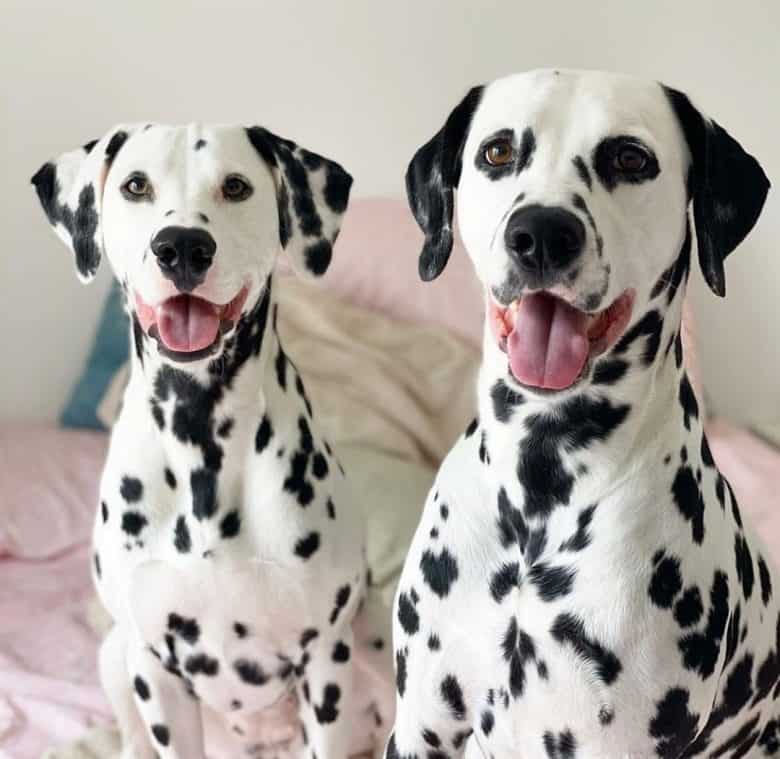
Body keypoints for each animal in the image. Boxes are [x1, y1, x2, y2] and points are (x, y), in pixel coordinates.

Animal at [32, 121, 394, 756]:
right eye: (135, 185)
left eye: (235, 186)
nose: (181, 247)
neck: (202, 435)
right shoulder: (153, 668)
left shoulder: (326, 657)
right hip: (114, 656)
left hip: (378, 642)